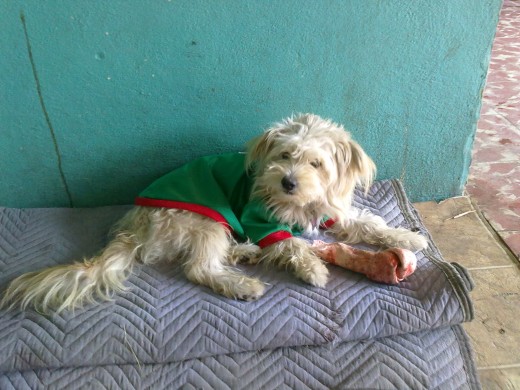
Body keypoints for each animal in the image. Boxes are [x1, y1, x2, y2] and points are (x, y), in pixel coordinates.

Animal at [0, 113, 426, 314]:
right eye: (284, 154)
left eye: (316, 164)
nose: (287, 182)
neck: (301, 204)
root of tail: (134, 228)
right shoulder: (259, 218)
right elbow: (290, 245)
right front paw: (313, 269)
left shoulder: (332, 213)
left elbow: (367, 223)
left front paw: (407, 236)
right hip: (206, 220)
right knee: (198, 267)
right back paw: (242, 283)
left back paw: (245, 254)